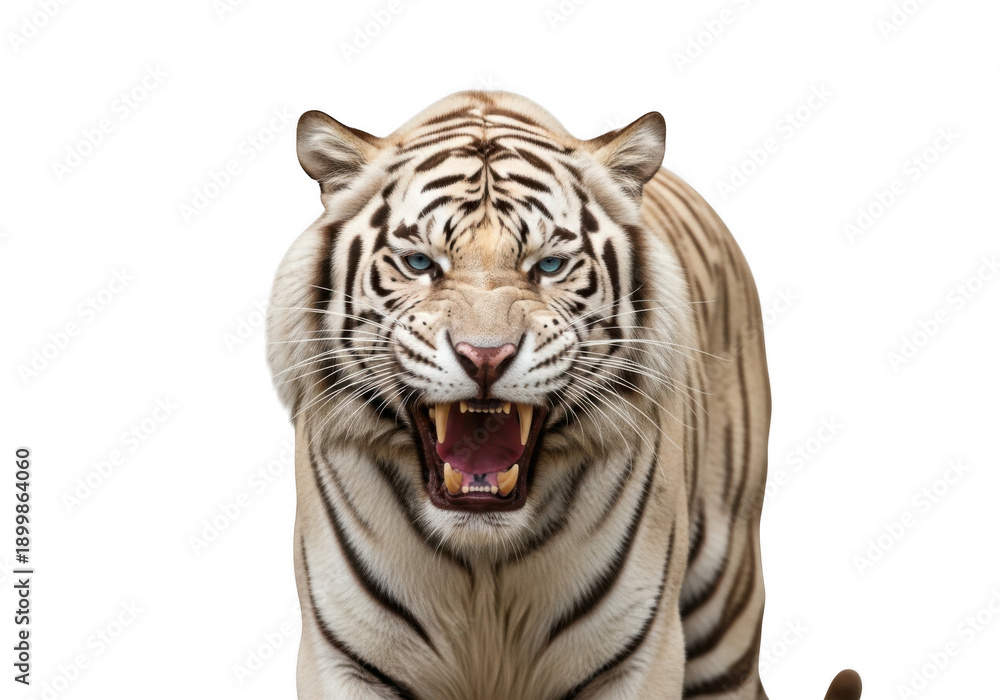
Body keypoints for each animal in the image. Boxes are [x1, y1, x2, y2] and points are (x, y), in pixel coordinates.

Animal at [265, 90, 862, 700]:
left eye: (549, 266)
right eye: (419, 263)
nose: (486, 356)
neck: (484, 565)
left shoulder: (640, 658)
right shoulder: (344, 659)